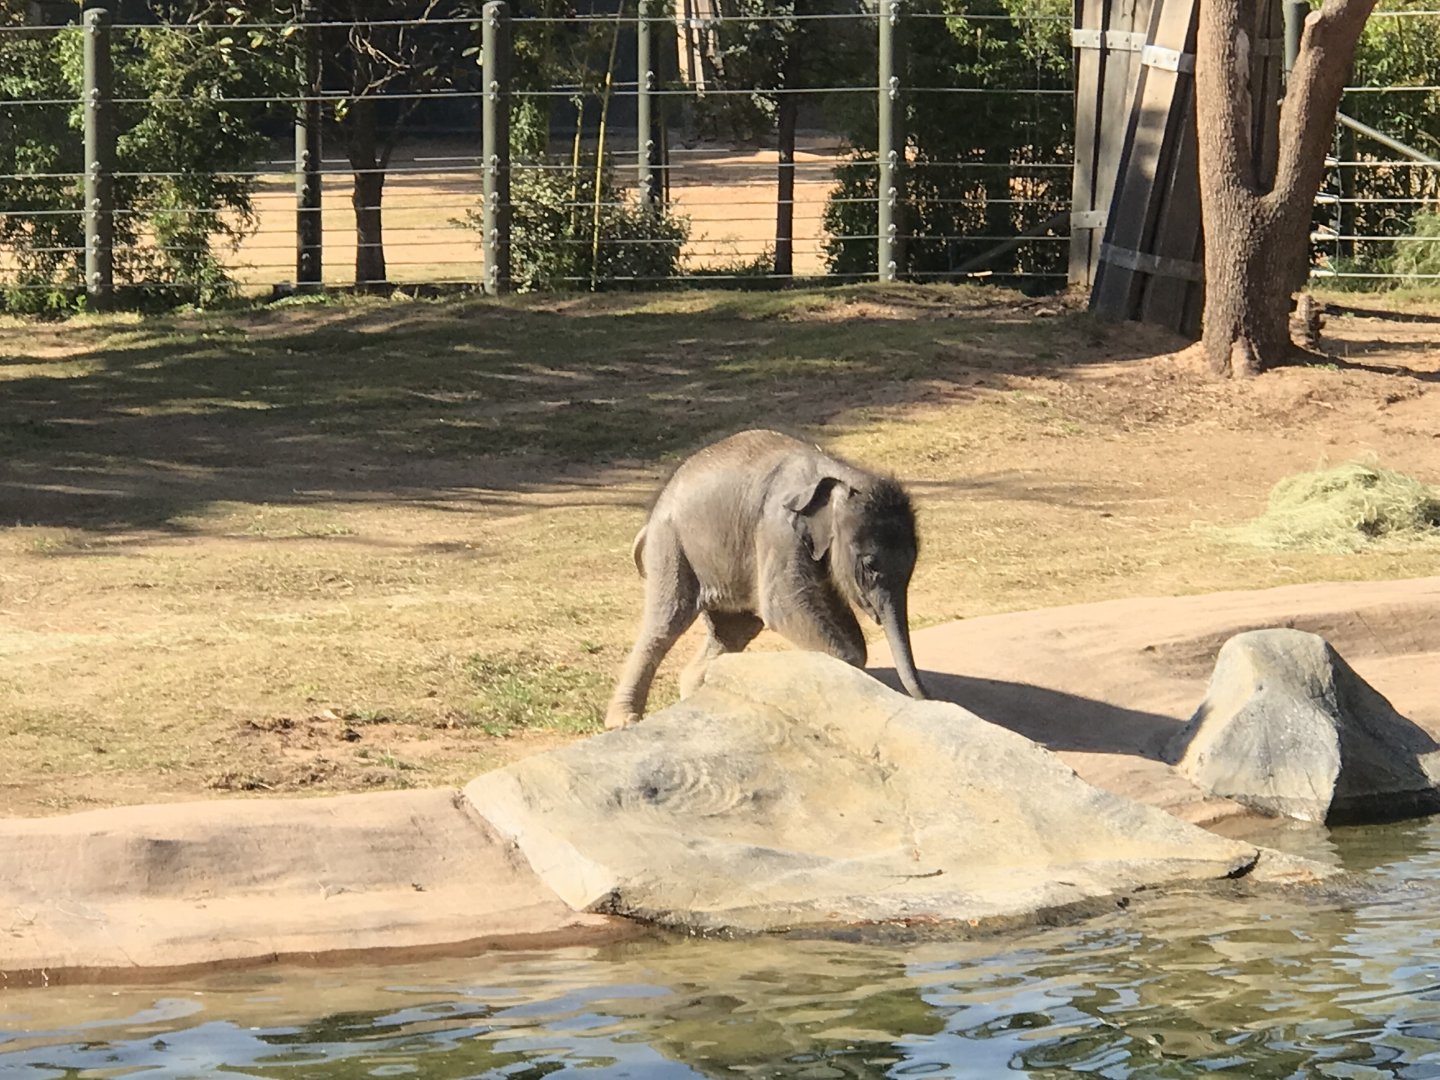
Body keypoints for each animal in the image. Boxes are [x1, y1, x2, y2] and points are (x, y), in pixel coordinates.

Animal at [605, 428, 929, 729]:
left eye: (913, 564)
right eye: (869, 565)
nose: (927, 700)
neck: (841, 475)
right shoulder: (778, 531)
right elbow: (784, 609)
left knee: (734, 631)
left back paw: (695, 691)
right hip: (671, 545)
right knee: (665, 623)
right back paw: (624, 721)